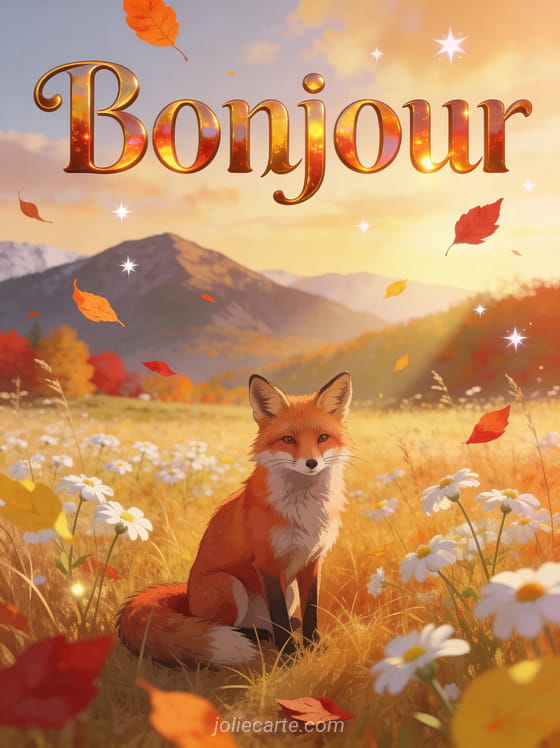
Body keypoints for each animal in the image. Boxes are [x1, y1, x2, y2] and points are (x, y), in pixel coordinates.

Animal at [117, 371, 352, 667]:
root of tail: (187, 597)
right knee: (222, 625)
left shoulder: (312, 561)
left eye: (322, 437)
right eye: (288, 439)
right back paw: (256, 637)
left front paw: (313, 647)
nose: (312, 463)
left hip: (288, 591)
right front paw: (289, 656)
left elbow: (311, 612)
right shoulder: (267, 564)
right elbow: (279, 620)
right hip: (228, 585)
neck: (303, 510)